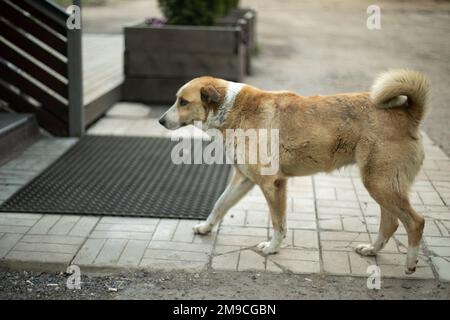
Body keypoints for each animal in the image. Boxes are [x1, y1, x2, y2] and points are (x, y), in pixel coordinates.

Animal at [158, 70, 428, 276]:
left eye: (183, 102)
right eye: (177, 99)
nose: (160, 121)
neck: (232, 107)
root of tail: (407, 113)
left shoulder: (272, 184)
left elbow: (278, 223)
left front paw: (272, 248)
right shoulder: (244, 180)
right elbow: (219, 204)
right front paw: (205, 228)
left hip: (379, 183)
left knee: (415, 222)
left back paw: (410, 262)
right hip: (382, 185)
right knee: (391, 222)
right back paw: (372, 250)